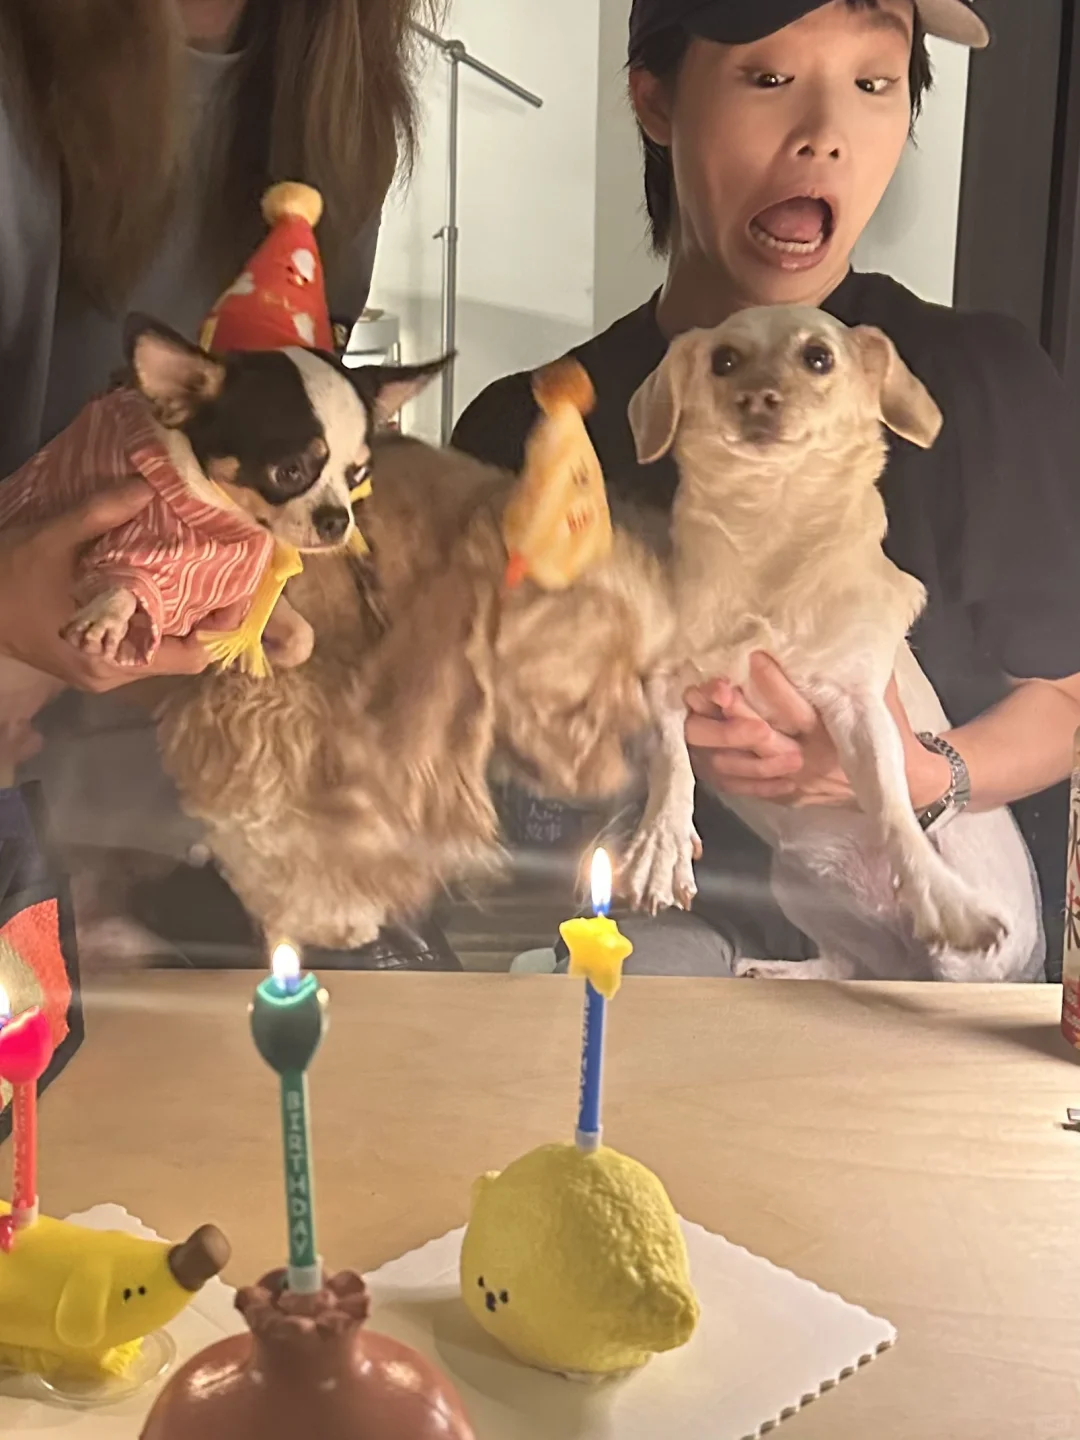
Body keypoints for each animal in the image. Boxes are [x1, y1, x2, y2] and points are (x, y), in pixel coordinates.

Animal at [622, 305, 1043, 982]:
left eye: (818, 357)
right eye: (724, 361)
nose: (757, 396)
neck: (769, 523)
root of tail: (902, 963)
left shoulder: (860, 709)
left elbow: (894, 808)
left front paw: (939, 893)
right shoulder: (663, 681)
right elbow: (671, 759)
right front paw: (660, 844)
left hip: (960, 962)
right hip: (795, 882)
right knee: (844, 962)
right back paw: (785, 970)